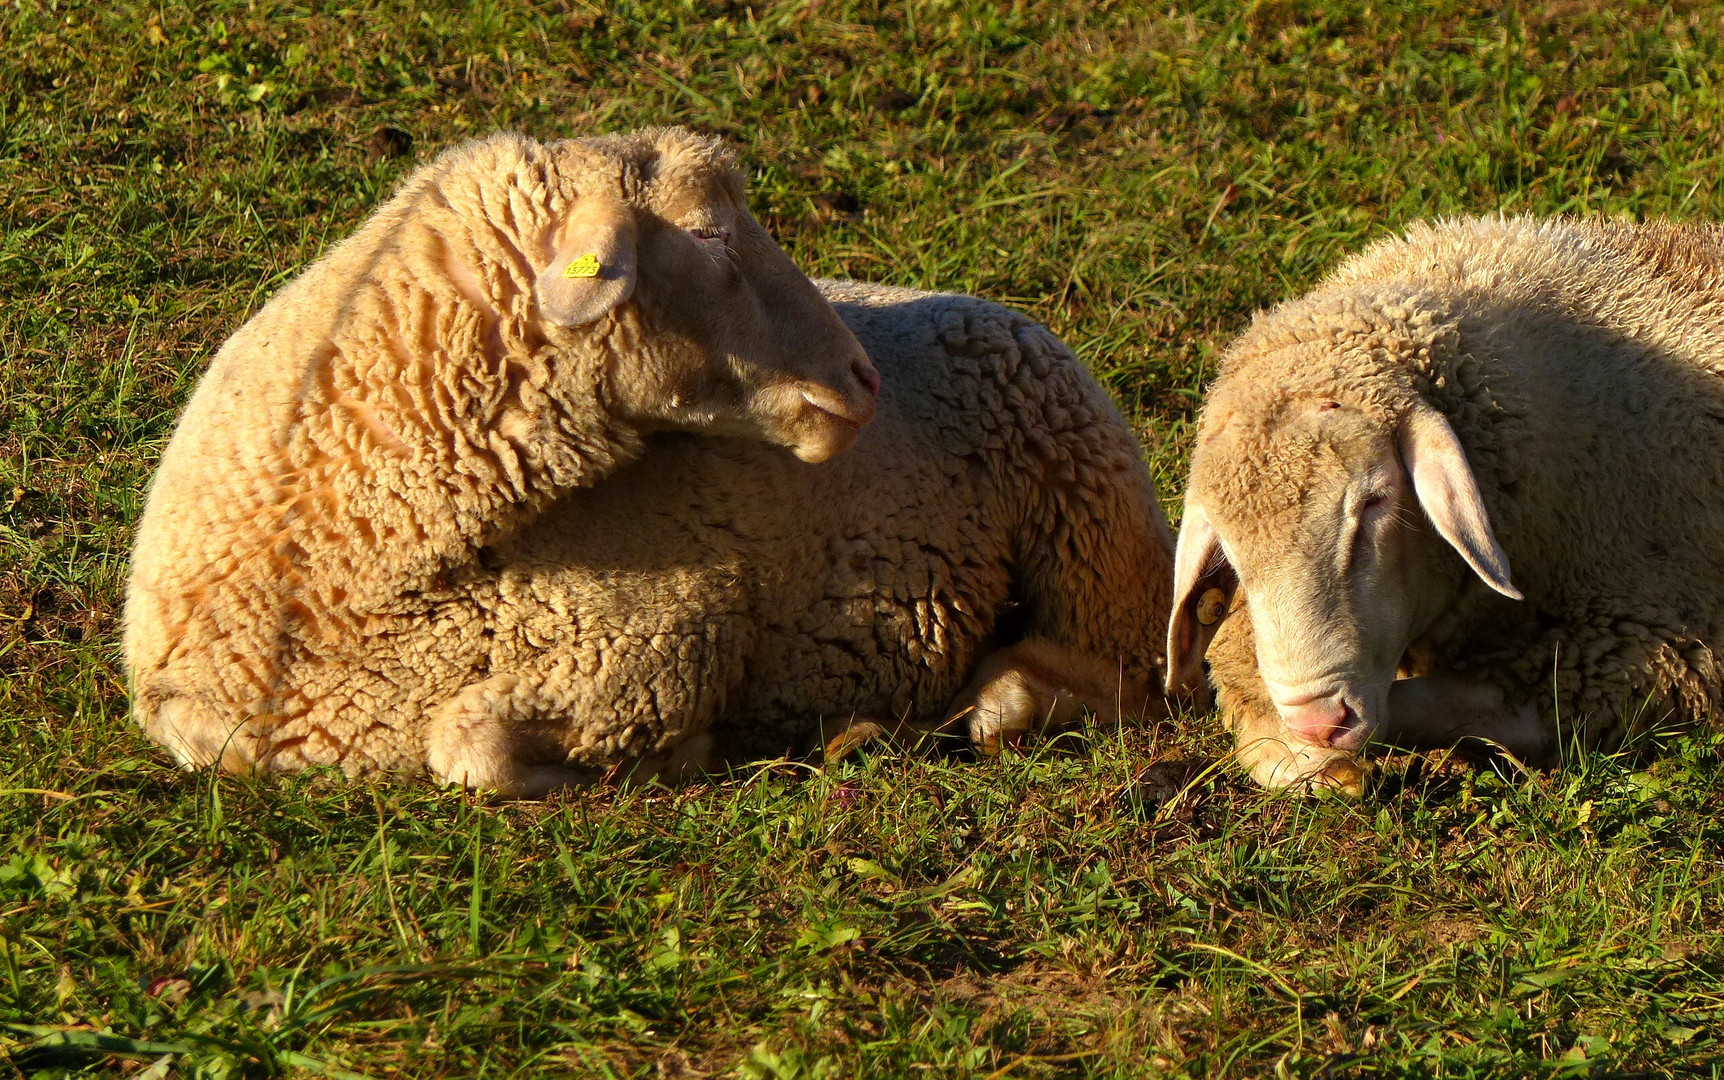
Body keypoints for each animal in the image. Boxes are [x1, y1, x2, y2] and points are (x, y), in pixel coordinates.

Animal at [121, 125, 1172, 790]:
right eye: (708, 233)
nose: (865, 380)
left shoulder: (666, 632)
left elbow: (467, 745)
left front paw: (674, 756)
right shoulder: (189, 708)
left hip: (1090, 513)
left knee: (1128, 679)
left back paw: (993, 702)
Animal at [1165, 216, 1724, 790]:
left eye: (1374, 501)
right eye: (1230, 546)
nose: (1319, 722)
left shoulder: (1656, 649)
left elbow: (1451, 705)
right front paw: (1306, 754)